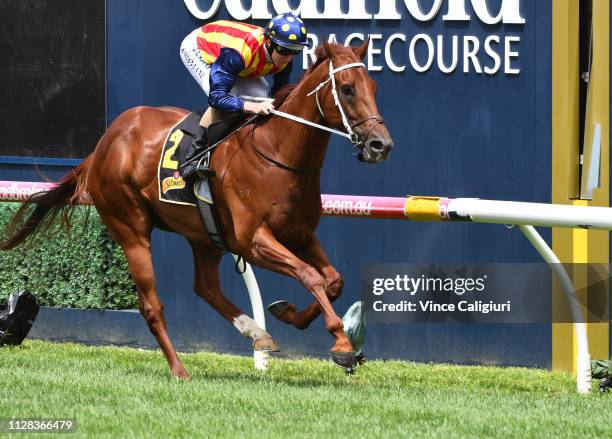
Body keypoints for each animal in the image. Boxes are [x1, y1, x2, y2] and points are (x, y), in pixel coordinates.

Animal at [0, 41, 392, 378]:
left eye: (373, 85)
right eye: (346, 88)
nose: (380, 145)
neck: (277, 153)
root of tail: (102, 145)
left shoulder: (299, 235)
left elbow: (333, 280)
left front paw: (291, 314)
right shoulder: (254, 242)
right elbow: (311, 277)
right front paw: (342, 344)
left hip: (204, 235)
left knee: (205, 287)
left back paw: (256, 332)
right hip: (129, 226)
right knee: (152, 305)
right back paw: (180, 370)